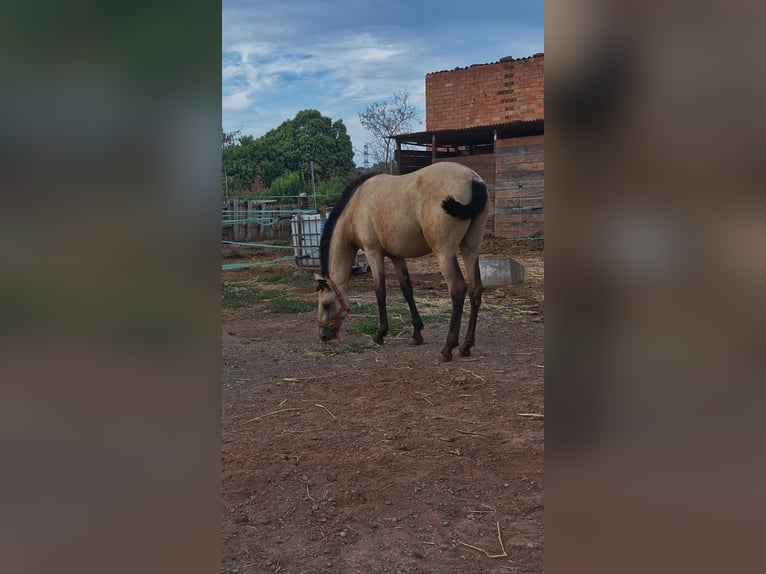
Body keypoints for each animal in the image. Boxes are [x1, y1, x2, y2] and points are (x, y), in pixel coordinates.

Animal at [314, 161, 490, 362]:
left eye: (326, 304)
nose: (323, 336)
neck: (356, 206)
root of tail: (473, 179)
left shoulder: (373, 253)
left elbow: (380, 292)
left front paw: (380, 334)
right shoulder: (397, 257)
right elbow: (407, 291)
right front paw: (417, 333)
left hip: (444, 252)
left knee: (458, 289)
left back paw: (448, 347)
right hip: (470, 248)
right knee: (475, 289)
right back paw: (466, 346)